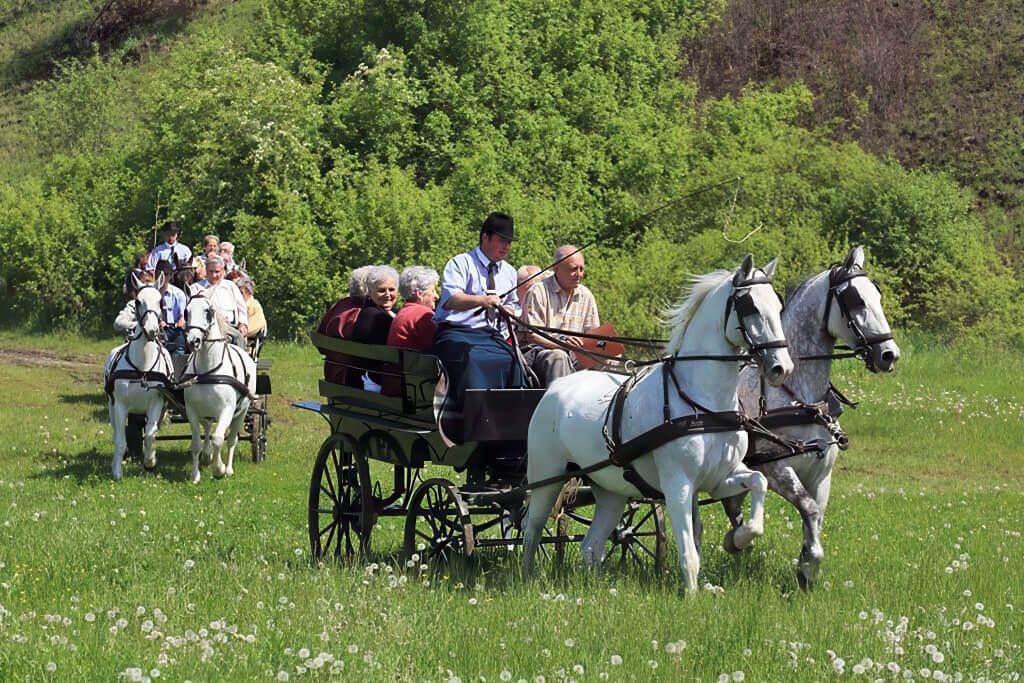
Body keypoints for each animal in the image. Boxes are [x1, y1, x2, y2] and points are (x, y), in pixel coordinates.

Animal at [104, 276, 174, 481]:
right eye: (137, 302)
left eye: (160, 301)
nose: (152, 330)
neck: (142, 368)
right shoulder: (120, 405)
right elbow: (120, 440)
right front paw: (117, 471)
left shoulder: (157, 403)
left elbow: (151, 433)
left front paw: (150, 461)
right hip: (112, 406)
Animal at [180, 296, 253, 483]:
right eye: (186, 311)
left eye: (208, 311)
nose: (193, 341)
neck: (209, 370)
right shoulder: (191, 411)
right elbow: (196, 444)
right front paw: (195, 475)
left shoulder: (227, 410)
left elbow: (219, 439)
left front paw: (219, 469)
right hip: (206, 412)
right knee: (207, 428)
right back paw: (207, 456)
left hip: (242, 412)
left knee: (232, 439)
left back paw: (229, 469)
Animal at [524, 255, 794, 593]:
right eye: (751, 307)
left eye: (778, 305)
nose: (782, 368)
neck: (701, 404)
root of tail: (555, 388)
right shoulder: (678, 484)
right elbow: (689, 550)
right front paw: (691, 595)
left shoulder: (719, 477)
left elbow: (759, 482)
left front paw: (738, 539)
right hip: (546, 476)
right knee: (531, 528)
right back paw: (528, 577)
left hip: (610, 490)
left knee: (592, 545)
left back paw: (597, 588)